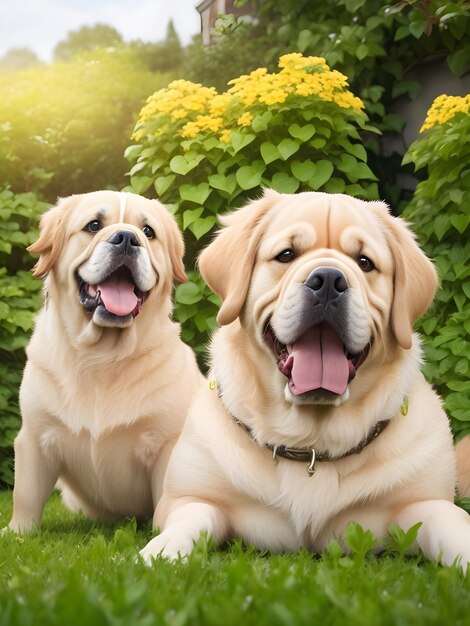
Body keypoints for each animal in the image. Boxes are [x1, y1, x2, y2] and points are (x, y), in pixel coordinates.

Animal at [141, 189, 470, 564]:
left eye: (365, 262)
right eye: (286, 254)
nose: (328, 280)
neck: (310, 447)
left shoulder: (427, 503)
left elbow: (450, 526)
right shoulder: (188, 498)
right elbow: (190, 519)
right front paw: (158, 554)